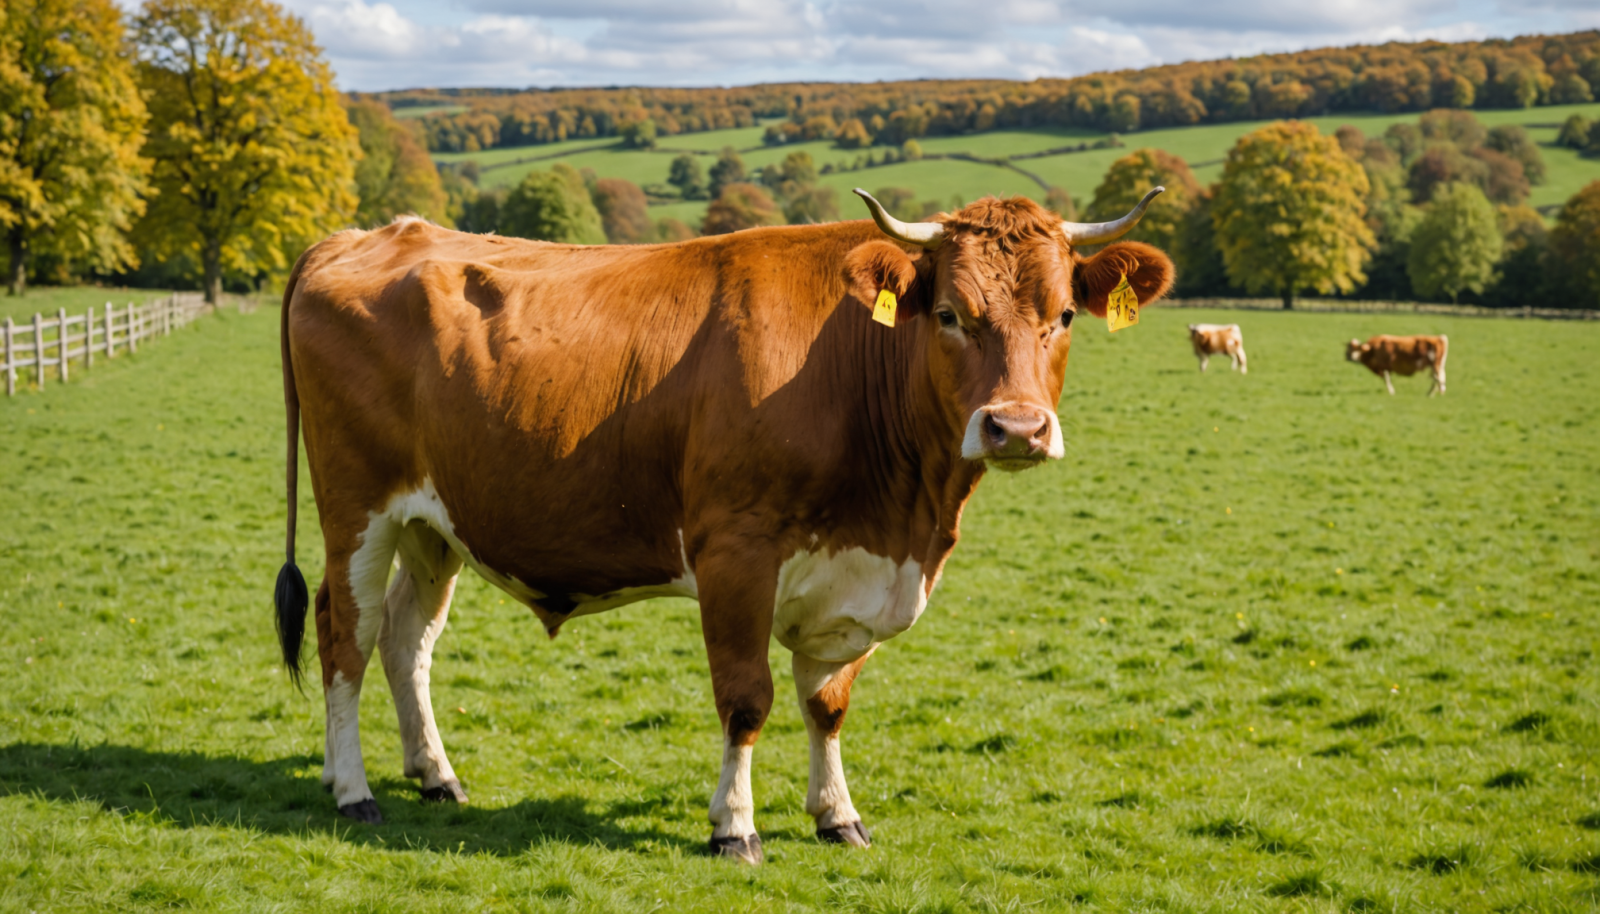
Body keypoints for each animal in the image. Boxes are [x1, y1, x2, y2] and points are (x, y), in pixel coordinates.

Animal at [272, 187, 1174, 864]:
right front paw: (734, 827)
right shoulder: (735, 552)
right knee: (344, 633)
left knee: (405, 639)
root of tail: (365, 233)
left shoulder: (853, 572)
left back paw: (435, 775)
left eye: (1064, 316)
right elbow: (747, 700)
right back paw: (352, 790)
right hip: (356, 507)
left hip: (435, 523)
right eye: (950, 313)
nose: (1016, 428)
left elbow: (827, 704)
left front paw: (836, 815)